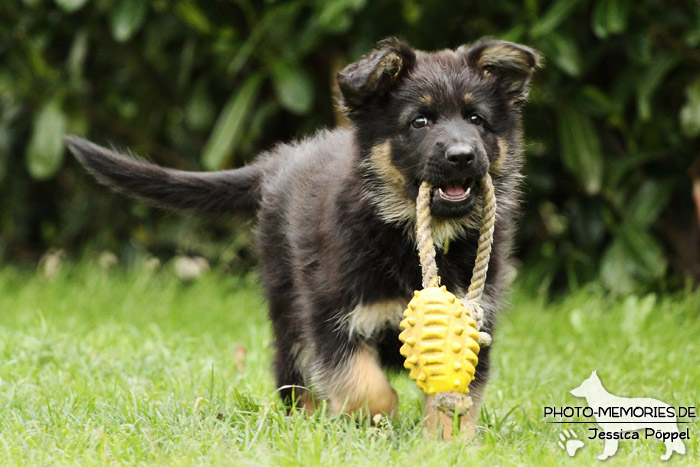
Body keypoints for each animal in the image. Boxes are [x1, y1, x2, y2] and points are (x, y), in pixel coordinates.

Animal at [65, 37, 540, 436]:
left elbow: (456, 394)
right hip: (288, 307)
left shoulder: (476, 317)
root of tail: (279, 160)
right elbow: (364, 386)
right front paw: (375, 420)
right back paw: (306, 425)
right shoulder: (330, 313)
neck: (407, 231)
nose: (462, 156)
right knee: (292, 376)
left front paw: (447, 443)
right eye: (419, 121)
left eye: (476, 119)